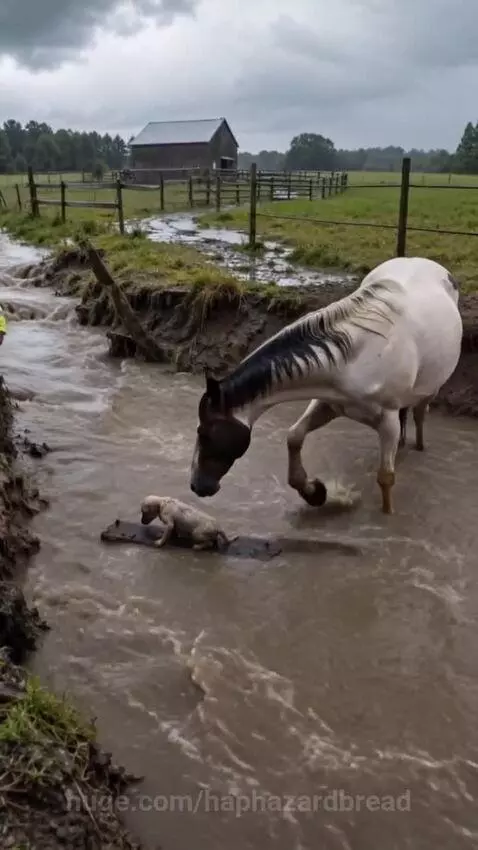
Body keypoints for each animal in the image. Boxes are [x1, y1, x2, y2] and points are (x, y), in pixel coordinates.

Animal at [190, 256, 462, 515]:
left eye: (203, 433)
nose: (197, 486)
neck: (357, 357)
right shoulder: (328, 403)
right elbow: (294, 436)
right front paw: (313, 492)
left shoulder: (388, 422)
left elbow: (385, 478)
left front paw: (388, 514)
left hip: (430, 390)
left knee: (419, 413)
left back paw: (419, 444)